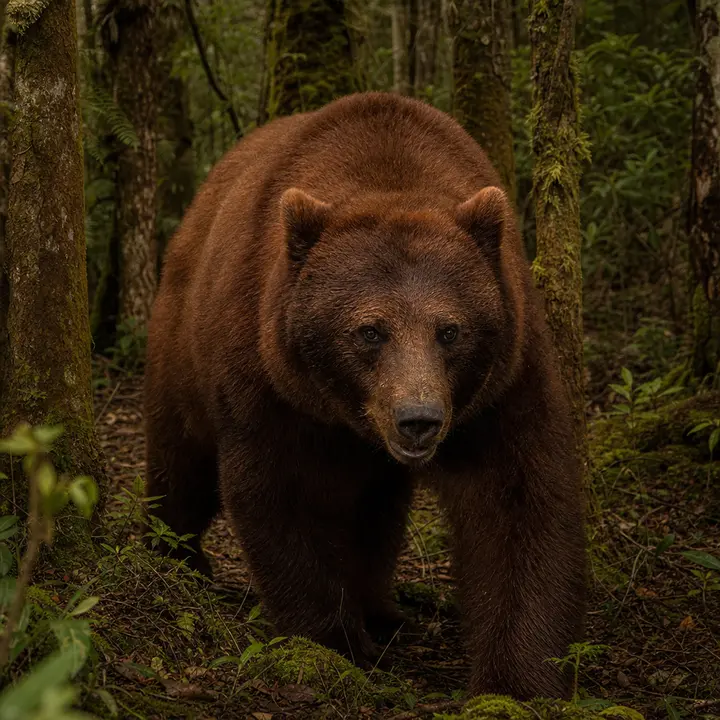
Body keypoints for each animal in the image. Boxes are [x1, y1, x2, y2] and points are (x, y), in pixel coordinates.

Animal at [144, 91, 586, 700]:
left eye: (450, 330)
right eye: (370, 330)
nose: (419, 418)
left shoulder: (504, 376)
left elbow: (520, 500)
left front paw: (515, 679)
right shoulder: (274, 380)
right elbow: (285, 493)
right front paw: (335, 641)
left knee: (380, 510)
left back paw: (382, 609)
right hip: (181, 345)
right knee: (181, 457)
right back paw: (173, 555)